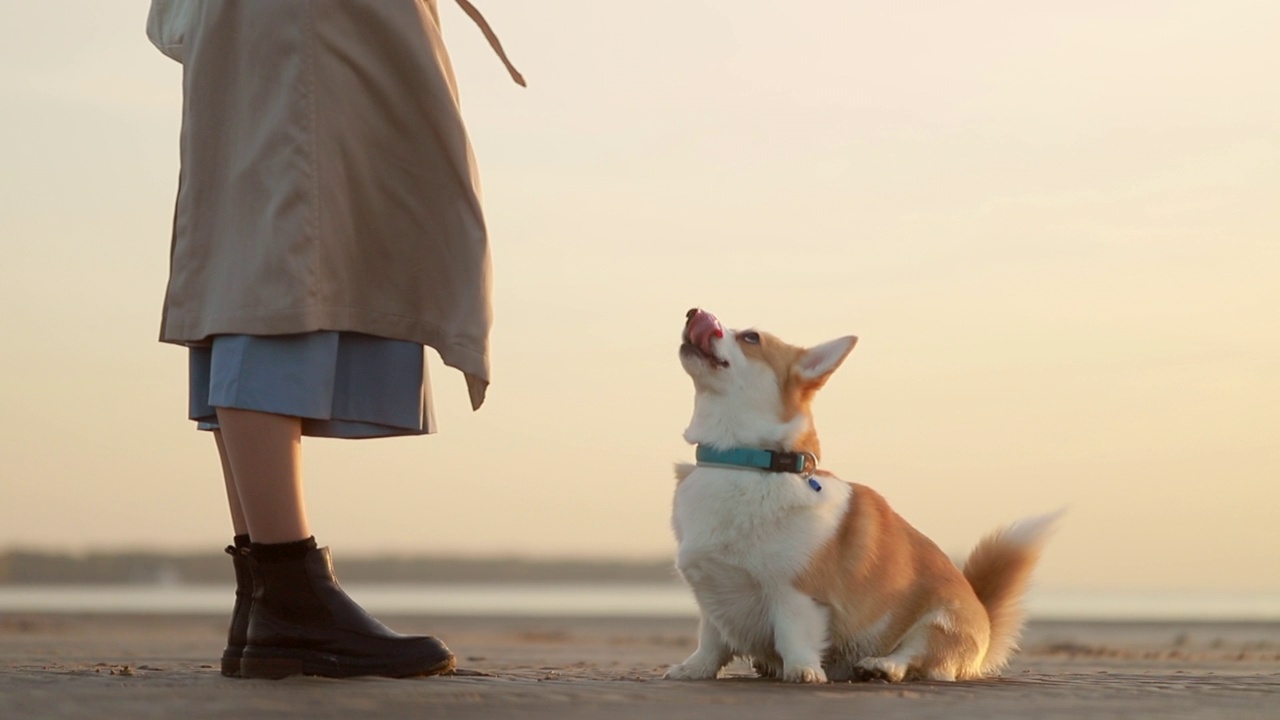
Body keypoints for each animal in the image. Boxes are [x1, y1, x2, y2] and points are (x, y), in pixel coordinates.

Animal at [665, 307, 1054, 676]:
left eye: (751, 337)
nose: (693, 313)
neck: (744, 463)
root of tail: (985, 626)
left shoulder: (796, 594)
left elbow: (794, 635)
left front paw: (803, 671)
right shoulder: (713, 599)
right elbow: (710, 642)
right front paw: (694, 669)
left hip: (938, 623)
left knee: (913, 657)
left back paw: (881, 667)